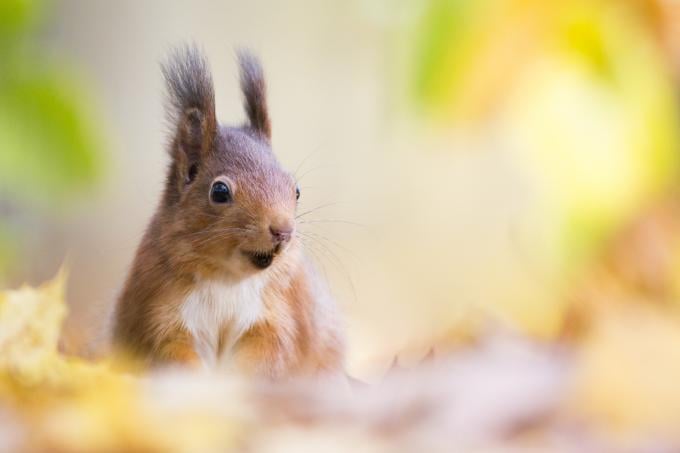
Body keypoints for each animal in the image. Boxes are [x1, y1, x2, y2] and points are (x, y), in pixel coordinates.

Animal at [114, 46, 346, 378]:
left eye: (297, 190)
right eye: (220, 192)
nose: (283, 231)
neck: (227, 277)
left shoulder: (280, 315)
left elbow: (270, 352)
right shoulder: (162, 315)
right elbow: (173, 354)